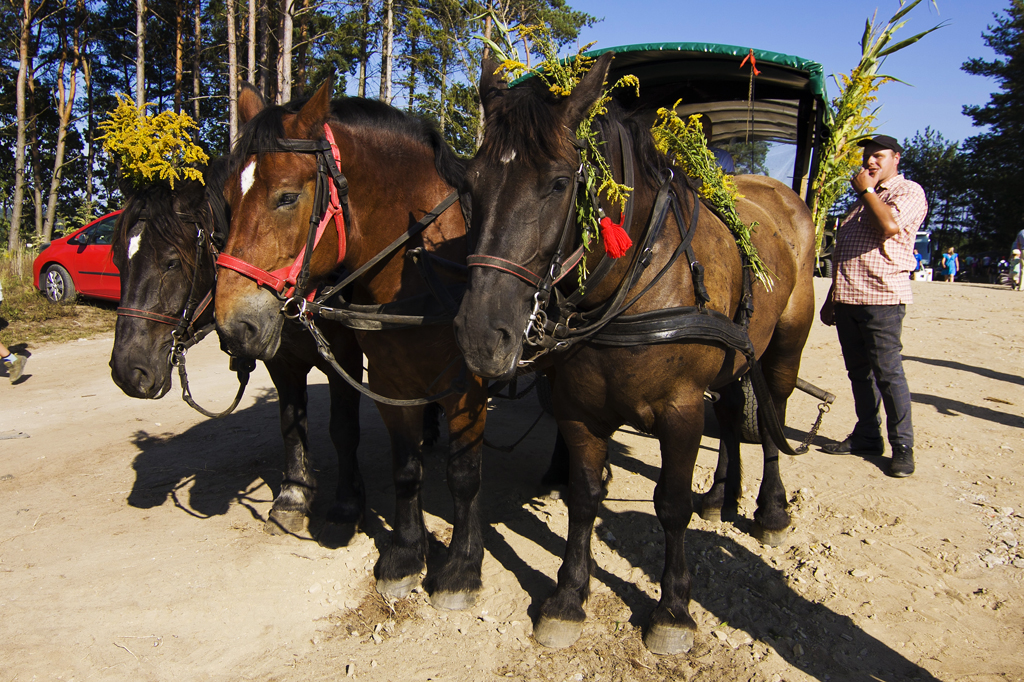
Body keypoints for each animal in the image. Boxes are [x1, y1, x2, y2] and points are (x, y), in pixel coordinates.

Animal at [108, 159, 370, 532]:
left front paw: (348, 503)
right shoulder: (281, 362)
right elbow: (291, 426)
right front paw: (293, 496)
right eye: (118, 261)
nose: (128, 371)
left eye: (171, 262)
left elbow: (344, 429)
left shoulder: (344, 358)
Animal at [214, 82, 489, 606]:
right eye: (226, 200)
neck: (423, 265)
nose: (234, 326)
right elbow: (406, 468)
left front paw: (462, 567)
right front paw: (405, 554)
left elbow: (465, 475)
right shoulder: (388, 381)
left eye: (286, 196)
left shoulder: (469, 387)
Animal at [456, 54, 815, 655]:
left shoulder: (680, 410)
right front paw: (569, 595)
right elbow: (583, 497)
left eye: (559, 183)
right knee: (730, 413)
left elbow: (670, 505)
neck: (636, 278)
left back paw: (770, 508)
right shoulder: (578, 409)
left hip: (784, 350)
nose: (482, 336)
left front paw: (673, 608)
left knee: (771, 423)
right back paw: (721, 494)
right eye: (471, 182)